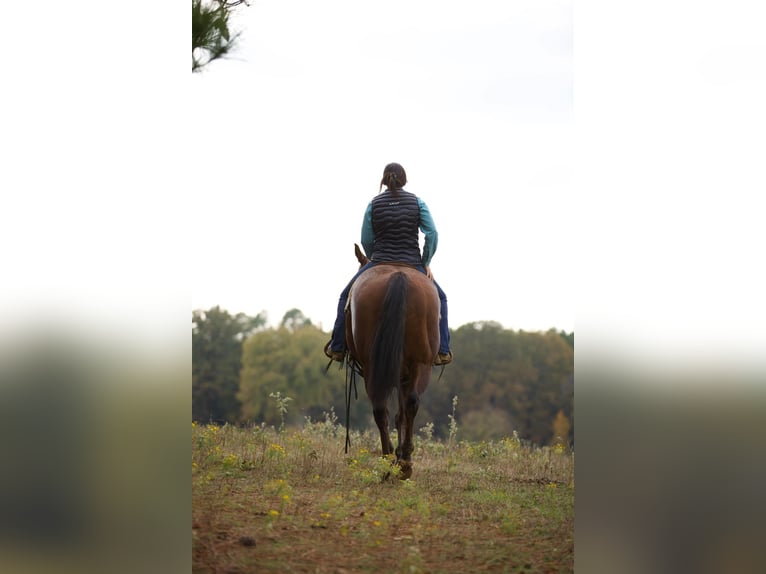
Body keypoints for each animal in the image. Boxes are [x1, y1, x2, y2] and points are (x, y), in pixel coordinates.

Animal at [344, 244, 440, 482]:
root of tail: (399, 276)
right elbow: (401, 413)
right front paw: (401, 455)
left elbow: (398, 414)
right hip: (418, 365)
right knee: (409, 404)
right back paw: (402, 463)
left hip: (378, 367)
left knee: (382, 408)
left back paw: (391, 462)